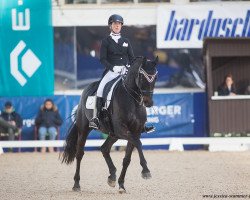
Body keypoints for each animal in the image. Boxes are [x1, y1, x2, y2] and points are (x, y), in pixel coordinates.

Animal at [61, 55, 157, 193]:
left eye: (155, 77)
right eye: (142, 76)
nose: (148, 102)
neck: (132, 100)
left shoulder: (135, 131)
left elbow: (127, 159)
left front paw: (121, 185)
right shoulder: (122, 130)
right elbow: (138, 143)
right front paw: (145, 171)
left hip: (113, 134)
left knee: (104, 149)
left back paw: (112, 176)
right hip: (84, 129)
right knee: (79, 154)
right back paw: (76, 184)